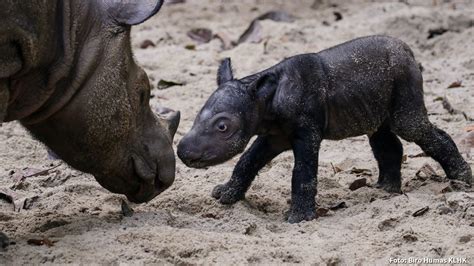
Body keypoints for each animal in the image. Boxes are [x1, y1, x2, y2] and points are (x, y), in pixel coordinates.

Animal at [177, 34, 470, 222]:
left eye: (222, 126)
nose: (182, 152)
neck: (264, 99)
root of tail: (409, 50)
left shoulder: (307, 133)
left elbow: (303, 172)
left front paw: (298, 218)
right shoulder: (273, 135)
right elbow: (247, 161)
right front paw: (226, 196)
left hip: (404, 81)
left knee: (412, 127)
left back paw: (462, 180)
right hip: (377, 101)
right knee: (383, 138)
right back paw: (385, 191)